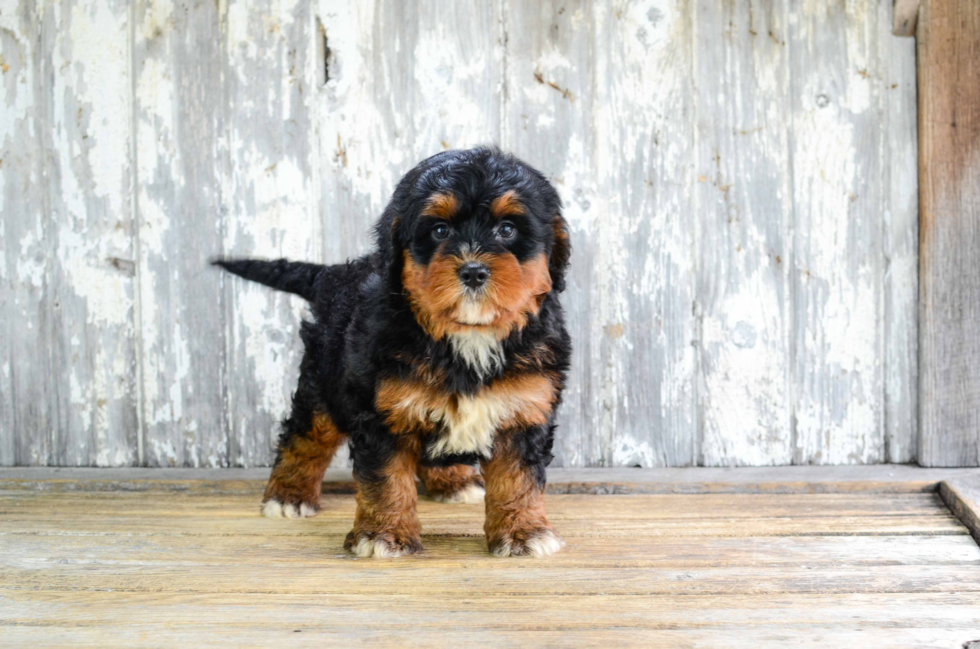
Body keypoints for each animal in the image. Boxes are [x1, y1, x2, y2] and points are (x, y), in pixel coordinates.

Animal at [211, 147, 572, 556]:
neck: (468, 336)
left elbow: (519, 479)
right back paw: (289, 495)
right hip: (322, 383)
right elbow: (386, 478)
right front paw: (384, 535)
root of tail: (331, 275)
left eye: (507, 229)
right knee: (306, 436)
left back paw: (452, 481)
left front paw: (523, 531)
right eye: (440, 231)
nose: (473, 271)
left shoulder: (525, 410)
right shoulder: (383, 412)